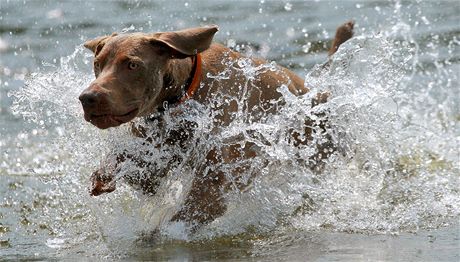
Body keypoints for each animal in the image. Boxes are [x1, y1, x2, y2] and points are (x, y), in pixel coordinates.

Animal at [79, 21, 354, 227]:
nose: (87, 98)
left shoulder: (217, 180)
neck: (182, 96)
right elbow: (129, 165)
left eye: (133, 64)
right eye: (97, 63)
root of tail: (315, 91)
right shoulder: (155, 154)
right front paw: (104, 175)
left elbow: (191, 212)